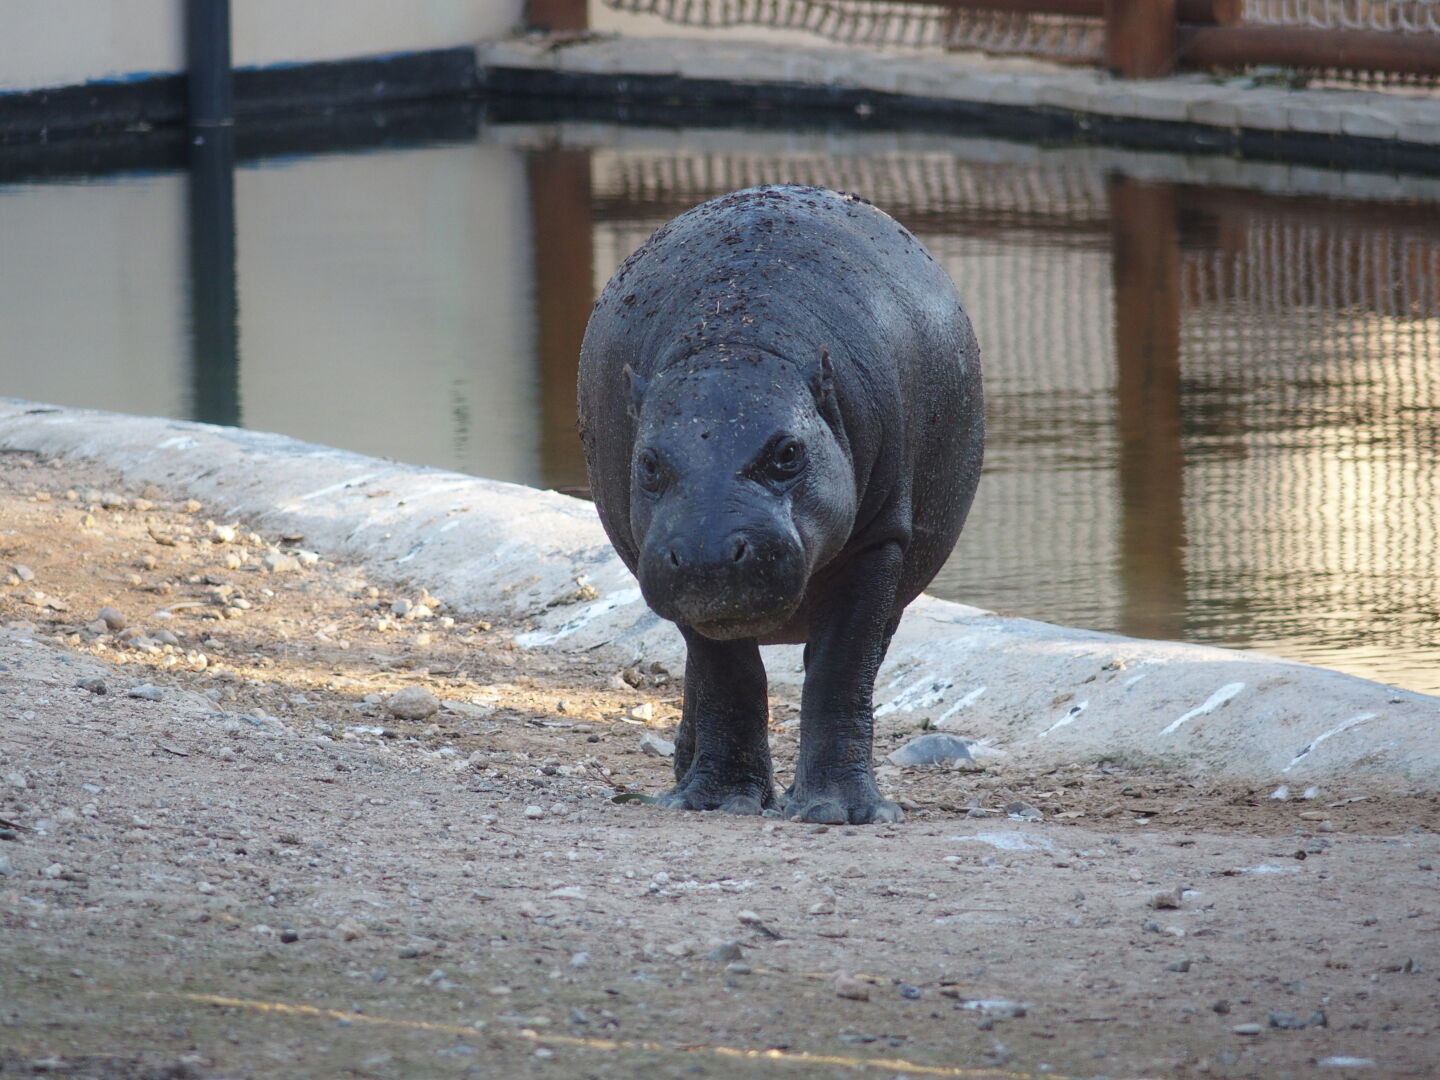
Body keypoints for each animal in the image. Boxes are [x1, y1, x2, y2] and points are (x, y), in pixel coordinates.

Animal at [578, 185, 983, 824]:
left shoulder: (879, 543)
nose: (707, 555)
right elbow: (728, 675)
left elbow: (842, 670)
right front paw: (718, 801)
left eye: (789, 452)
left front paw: (842, 811)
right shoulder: (671, 572)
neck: (737, 342)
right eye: (647, 462)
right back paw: (684, 781)